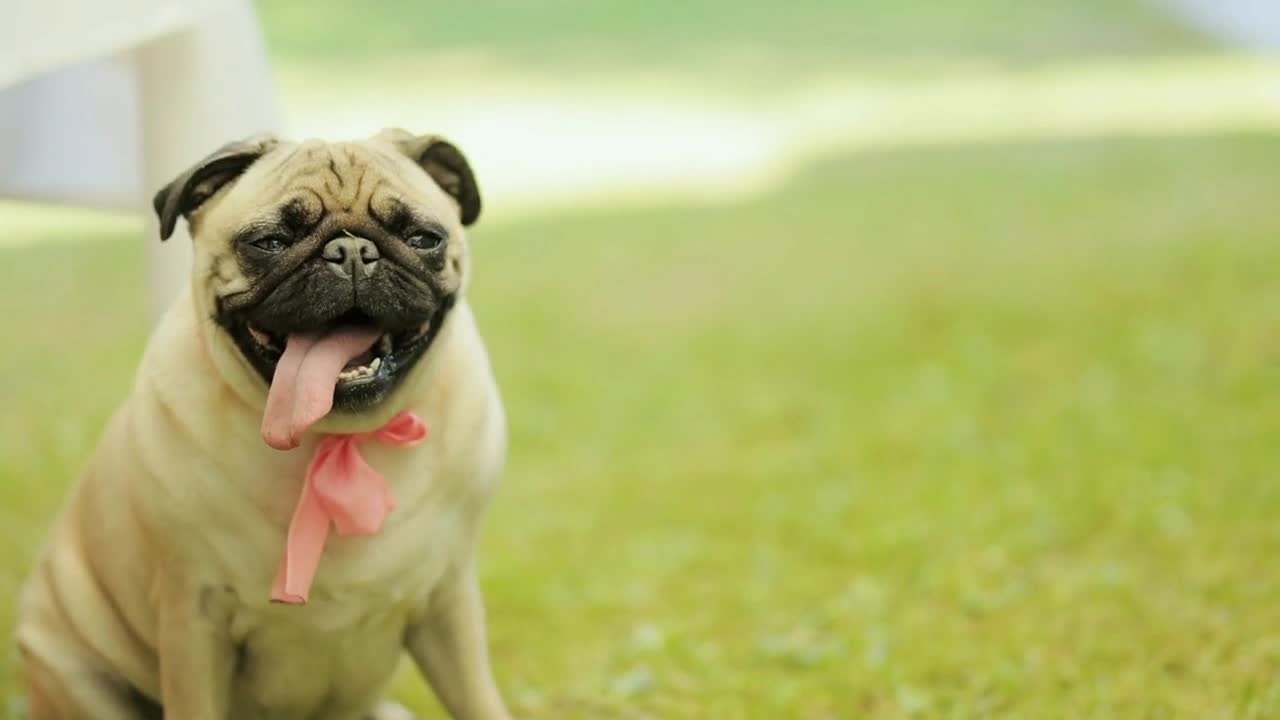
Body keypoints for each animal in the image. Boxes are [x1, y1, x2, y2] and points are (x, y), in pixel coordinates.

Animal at [17, 130, 512, 717]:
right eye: (270, 243)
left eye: (423, 238)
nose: (351, 251)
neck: (337, 438)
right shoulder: (192, 619)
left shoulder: (447, 599)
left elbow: (480, 701)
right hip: (69, 667)